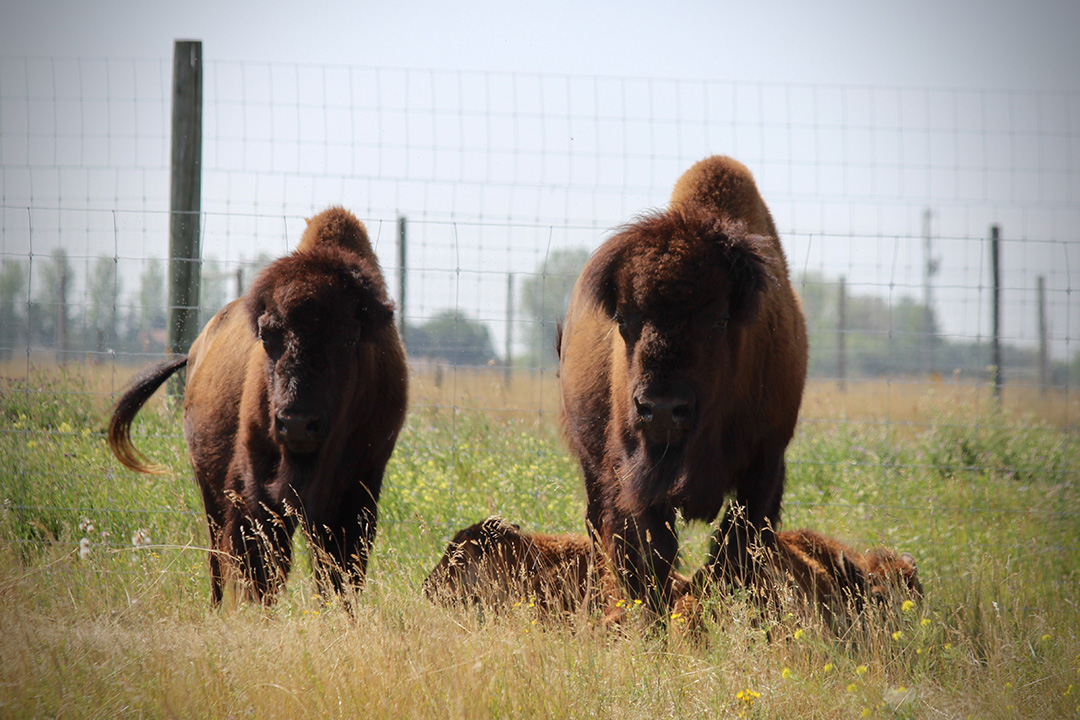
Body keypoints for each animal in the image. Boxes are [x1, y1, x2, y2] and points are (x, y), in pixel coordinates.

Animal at [107, 208, 406, 608]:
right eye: (267, 336)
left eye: (349, 338)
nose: (297, 424)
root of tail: (197, 349)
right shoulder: (256, 484)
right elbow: (263, 564)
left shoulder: (359, 486)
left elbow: (339, 570)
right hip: (208, 485)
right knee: (217, 555)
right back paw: (217, 607)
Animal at [561, 155, 807, 613]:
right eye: (624, 319)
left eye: (719, 321)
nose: (661, 409)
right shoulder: (634, 476)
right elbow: (651, 555)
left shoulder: (765, 465)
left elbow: (733, 553)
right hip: (592, 463)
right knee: (600, 530)